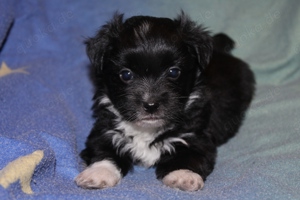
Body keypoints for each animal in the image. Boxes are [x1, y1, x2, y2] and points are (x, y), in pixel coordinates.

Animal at [75, 12, 255, 191]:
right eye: (125, 74)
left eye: (174, 72)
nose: (151, 105)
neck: (147, 130)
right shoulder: (105, 129)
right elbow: (103, 150)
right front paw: (98, 173)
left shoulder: (195, 135)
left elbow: (190, 155)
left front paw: (183, 175)